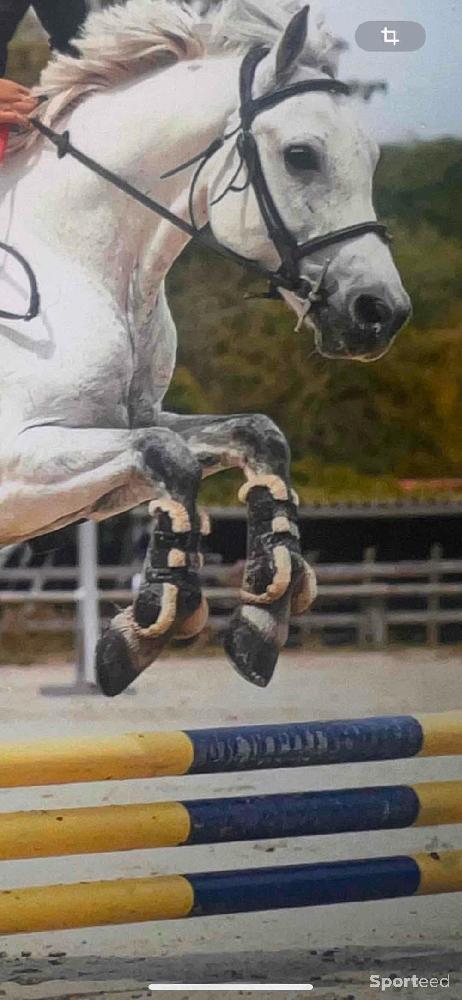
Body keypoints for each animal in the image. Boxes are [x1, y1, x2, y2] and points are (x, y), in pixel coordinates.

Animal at [0, 0, 412, 696]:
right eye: (301, 155)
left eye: (373, 157)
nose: (381, 313)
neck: (76, 263)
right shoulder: (16, 461)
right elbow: (168, 455)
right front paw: (148, 623)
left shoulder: (129, 432)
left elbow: (250, 435)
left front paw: (263, 612)